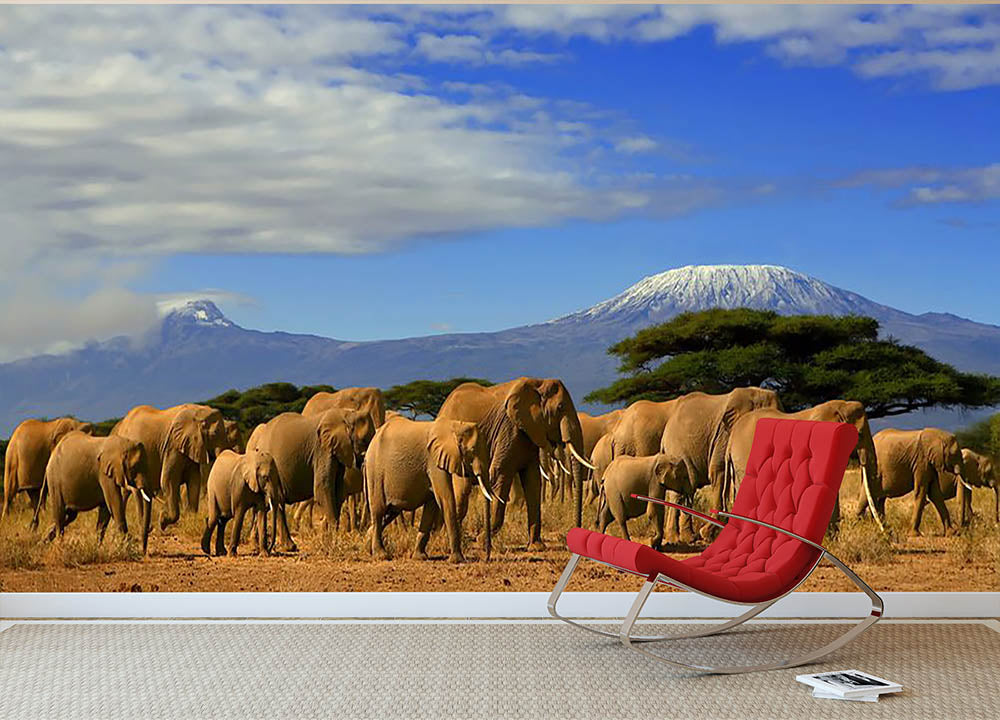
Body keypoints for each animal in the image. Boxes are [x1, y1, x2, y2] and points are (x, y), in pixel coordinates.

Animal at [111, 403, 228, 544]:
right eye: (215, 434)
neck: (199, 411)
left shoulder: (190, 446)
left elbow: (194, 481)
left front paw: (190, 520)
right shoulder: (173, 446)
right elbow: (168, 481)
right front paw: (162, 520)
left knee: (125, 492)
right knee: (133, 492)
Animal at [247, 408, 373, 551]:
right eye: (364, 440)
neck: (346, 414)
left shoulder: (336, 452)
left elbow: (338, 491)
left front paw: (328, 540)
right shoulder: (322, 450)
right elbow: (323, 488)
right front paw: (333, 542)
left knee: (273, 503)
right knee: (277, 501)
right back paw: (287, 547)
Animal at [365, 416, 493, 562]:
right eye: (472, 451)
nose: (487, 557)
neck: (455, 426)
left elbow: (432, 505)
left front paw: (420, 557)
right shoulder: (434, 461)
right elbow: (445, 498)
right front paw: (458, 560)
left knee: (390, 512)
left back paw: (368, 546)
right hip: (375, 471)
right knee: (379, 511)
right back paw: (381, 555)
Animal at [438, 377, 590, 549]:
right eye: (560, 407)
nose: (573, 538)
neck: (538, 383)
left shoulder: (529, 432)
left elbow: (533, 480)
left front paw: (536, 547)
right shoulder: (509, 429)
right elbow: (500, 475)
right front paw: (482, 540)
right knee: (462, 492)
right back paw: (448, 540)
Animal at [659, 388, 783, 542]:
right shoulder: (725, 434)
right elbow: (719, 471)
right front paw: (707, 534)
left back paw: (687, 537)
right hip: (677, 448)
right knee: (683, 489)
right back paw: (679, 538)